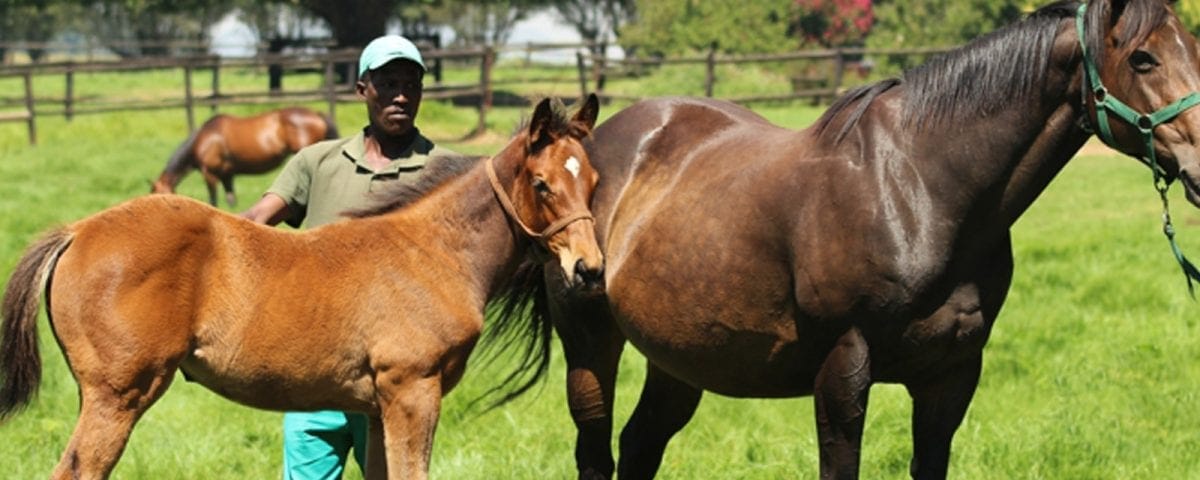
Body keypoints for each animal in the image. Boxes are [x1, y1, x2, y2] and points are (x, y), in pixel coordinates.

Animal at [150, 107, 338, 207]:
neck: (205, 138)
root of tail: (317, 114)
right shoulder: (227, 176)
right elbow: (231, 201)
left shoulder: (210, 174)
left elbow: (213, 201)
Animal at [533, 1, 1200, 478]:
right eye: (1143, 59)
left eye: (1193, 48)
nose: (1199, 169)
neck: (918, 188)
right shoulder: (843, 371)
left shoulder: (951, 377)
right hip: (590, 345)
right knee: (595, 452)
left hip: (680, 357)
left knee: (639, 446)